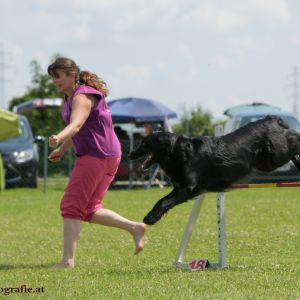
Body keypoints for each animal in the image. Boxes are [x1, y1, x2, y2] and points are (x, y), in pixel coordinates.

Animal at [129, 116, 300, 224]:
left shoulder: (188, 187)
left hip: (276, 155)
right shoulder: (184, 188)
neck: (177, 151)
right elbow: (163, 200)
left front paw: (150, 218)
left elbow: (164, 201)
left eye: (145, 143)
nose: (130, 154)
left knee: (295, 142)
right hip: (267, 162)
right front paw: (152, 216)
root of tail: (273, 119)